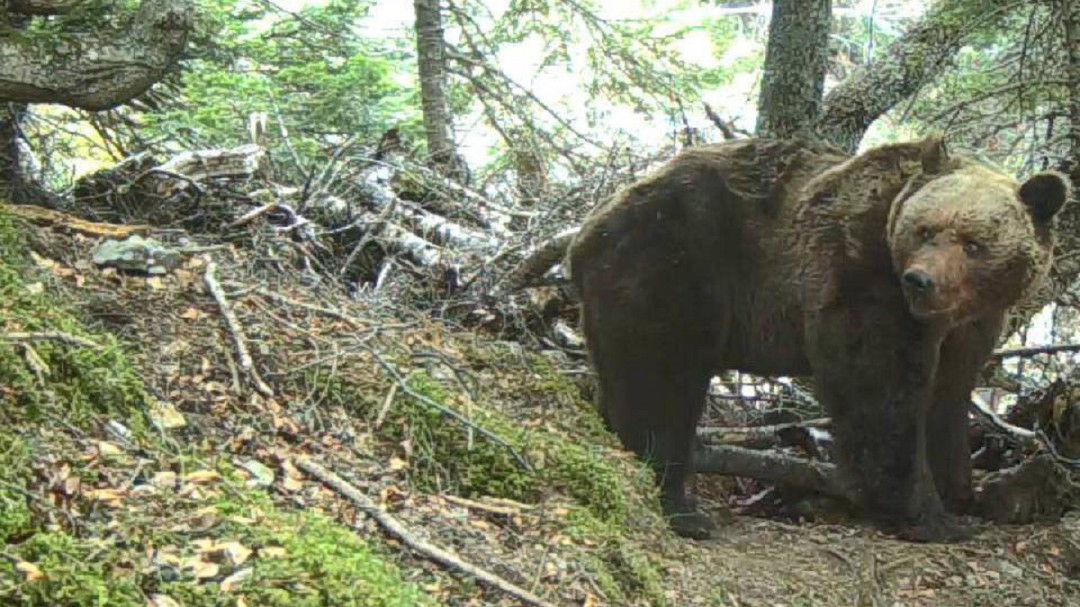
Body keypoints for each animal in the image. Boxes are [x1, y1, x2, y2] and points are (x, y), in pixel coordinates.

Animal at [565, 136, 1071, 537]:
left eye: (973, 243)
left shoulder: (971, 327)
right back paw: (682, 508)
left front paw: (964, 492)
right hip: (673, 263)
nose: (920, 280)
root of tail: (586, 230)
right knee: (664, 382)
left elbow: (948, 396)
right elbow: (880, 388)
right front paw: (930, 516)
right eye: (926, 229)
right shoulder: (859, 273)